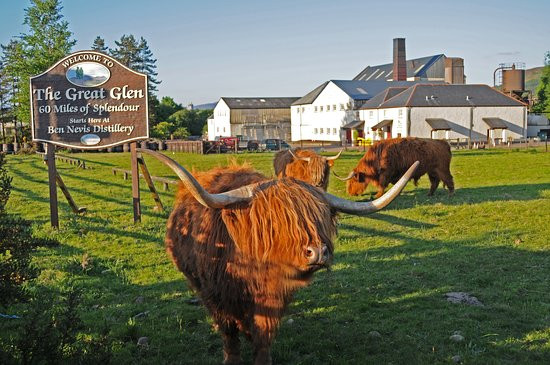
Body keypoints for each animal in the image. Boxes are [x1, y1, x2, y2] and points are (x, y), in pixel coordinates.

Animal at [138, 148, 418, 364]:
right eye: (276, 220)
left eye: (321, 216)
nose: (318, 251)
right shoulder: (215, 294)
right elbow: (229, 334)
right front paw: (232, 357)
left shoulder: (272, 298)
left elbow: (263, 335)